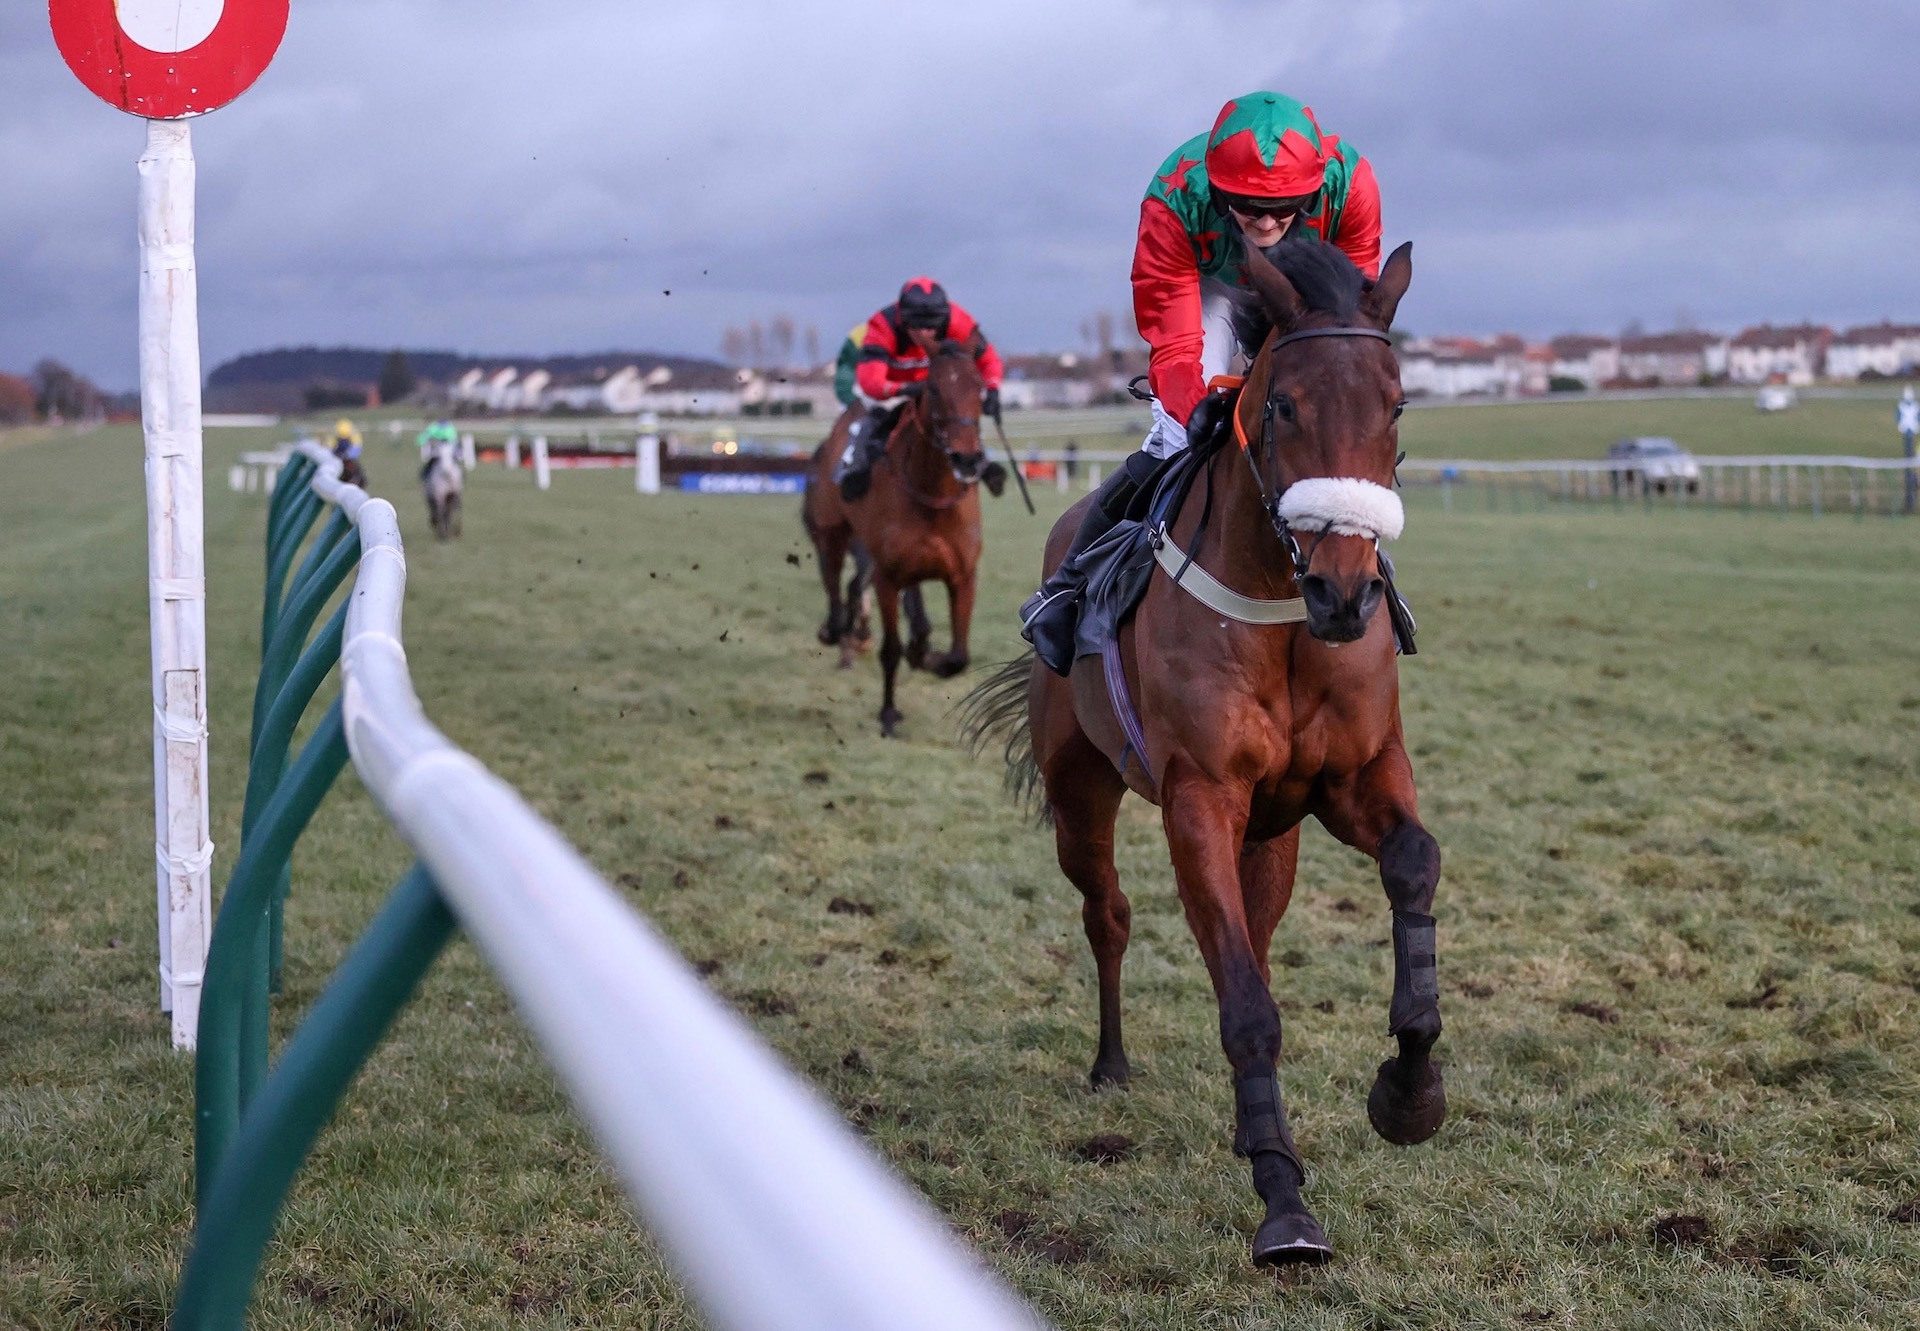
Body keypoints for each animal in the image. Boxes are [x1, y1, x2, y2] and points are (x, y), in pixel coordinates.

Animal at [794, 339, 1006, 737]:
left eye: (980, 389)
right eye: (933, 389)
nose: (967, 458)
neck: (931, 495)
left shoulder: (962, 575)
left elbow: (958, 657)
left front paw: (929, 657)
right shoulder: (887, 576)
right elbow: (890, 649)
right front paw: (889, 714)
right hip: (831, 533)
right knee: (835, 583)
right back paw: (837, 630)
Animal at [960, 239, 1443, 1267]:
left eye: (1395, 405)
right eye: (1285, 404)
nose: (1345, 591)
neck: (1285, 614)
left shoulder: (1355, 776)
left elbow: (1413, 864)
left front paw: (1410, 1091)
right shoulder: (1200, 800)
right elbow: (1247, 1006)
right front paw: (1285, 1203)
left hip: (1275, 830)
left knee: (1251, 937)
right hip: (1081, 795)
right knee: (1108, 914)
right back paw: (1112, 1063)